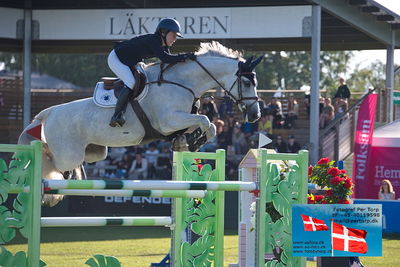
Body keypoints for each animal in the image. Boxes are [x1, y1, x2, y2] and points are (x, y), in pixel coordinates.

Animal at [18, 41, 262, 207]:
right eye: (246, 82)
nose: (255, 115)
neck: (182, 82)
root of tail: (49, 112)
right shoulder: (169, 120)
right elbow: (205, 120)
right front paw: (190, 142)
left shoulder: (180, 120)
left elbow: (207, 126)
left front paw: (186, 142)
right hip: (68, 154)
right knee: (51, 165)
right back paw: (48, 194)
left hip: (95, 152)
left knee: (69, 166)